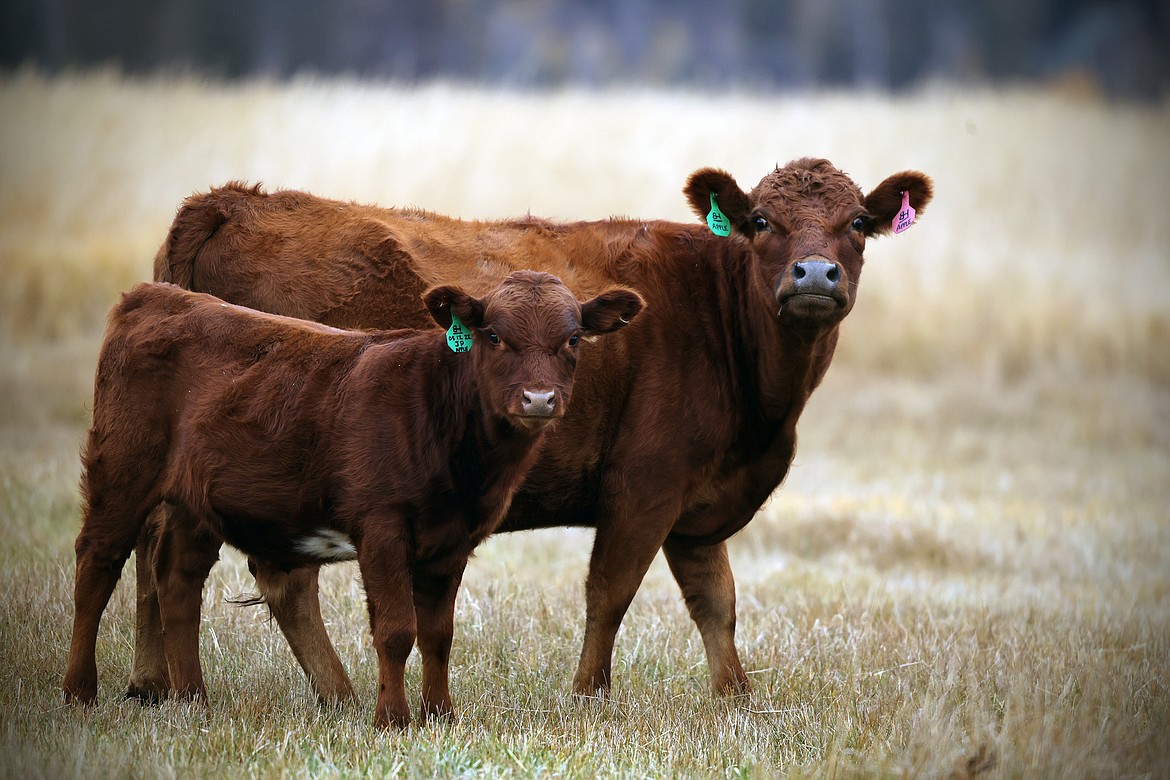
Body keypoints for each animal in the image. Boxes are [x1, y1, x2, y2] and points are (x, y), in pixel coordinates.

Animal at [61, 271, 650, 729]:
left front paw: (441, 715)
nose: (539, 399)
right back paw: (79, 691)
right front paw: (392, 719)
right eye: (493, 334)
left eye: (573, 338)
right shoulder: (382, 526)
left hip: (194, 502)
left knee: (177, 579)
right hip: (122, 470)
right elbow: (395, 630)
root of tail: (157, 295)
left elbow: (438, 634)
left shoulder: (452, 540)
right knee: (98, 565)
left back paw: (193, 701)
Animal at [128, 155, 931, 706]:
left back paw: (153, 684)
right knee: (273, 578)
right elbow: (611, 591)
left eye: (858, 224)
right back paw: (337, 695)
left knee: (152, 551)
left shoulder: (696, 506)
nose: (815, 274)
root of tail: (230, 201)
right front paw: (588, 697)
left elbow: (717, 603)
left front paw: (736, 698)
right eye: (762, 221)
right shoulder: (645, 484)